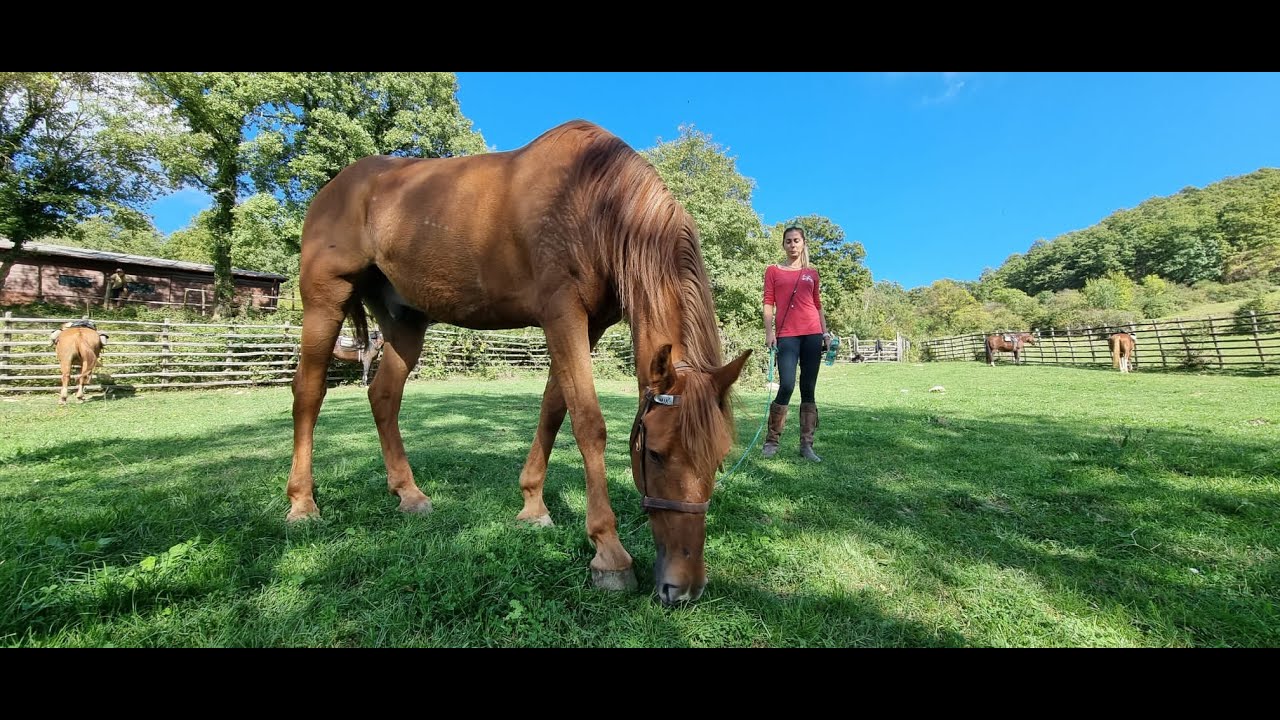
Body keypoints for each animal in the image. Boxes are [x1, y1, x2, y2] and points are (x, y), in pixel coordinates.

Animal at [287, 120, 751, 606]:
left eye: (720, 457)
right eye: (656, 454)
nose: (685, 587)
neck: (592, 198)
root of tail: (335, 187)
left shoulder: (588, 325)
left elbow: (553, 409)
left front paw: (532, 506)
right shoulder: (562, 314)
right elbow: (588, 422)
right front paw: (608, 552)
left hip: (406, 320)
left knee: (383, 395)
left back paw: (409, 495)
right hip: (325, 301)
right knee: (309, 392)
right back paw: (302, 504)